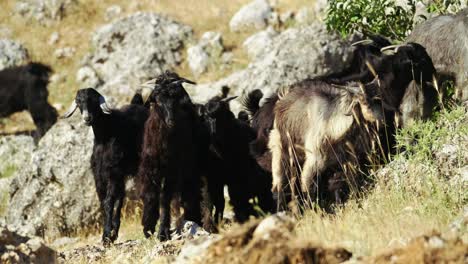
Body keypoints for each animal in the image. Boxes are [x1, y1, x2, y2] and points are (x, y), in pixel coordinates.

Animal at [61, 87, 147, 244]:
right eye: (79, 102)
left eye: (94, 101)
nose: (87, 118)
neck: (104, 138)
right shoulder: (100, 175)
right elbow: (104, 201)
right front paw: (110, 233)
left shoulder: (113, 172)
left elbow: (108, 201)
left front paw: (106, 235)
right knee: (121, 197)